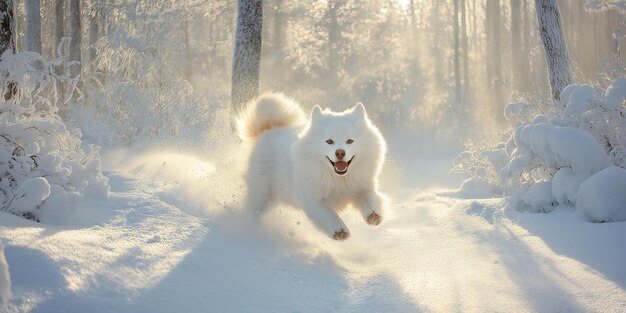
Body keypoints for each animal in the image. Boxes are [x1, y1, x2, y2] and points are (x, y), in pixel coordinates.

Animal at [236, 92, 386, 239]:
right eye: (329, 141)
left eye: (350, 141)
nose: (340, 152)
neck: (339, 179)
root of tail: (268, 129)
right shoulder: (313, 200)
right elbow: (328, 215)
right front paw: (339, 230)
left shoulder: (362, 187)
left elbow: (371, 200)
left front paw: (374, 215)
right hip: (261, 195)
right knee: (253, 209)